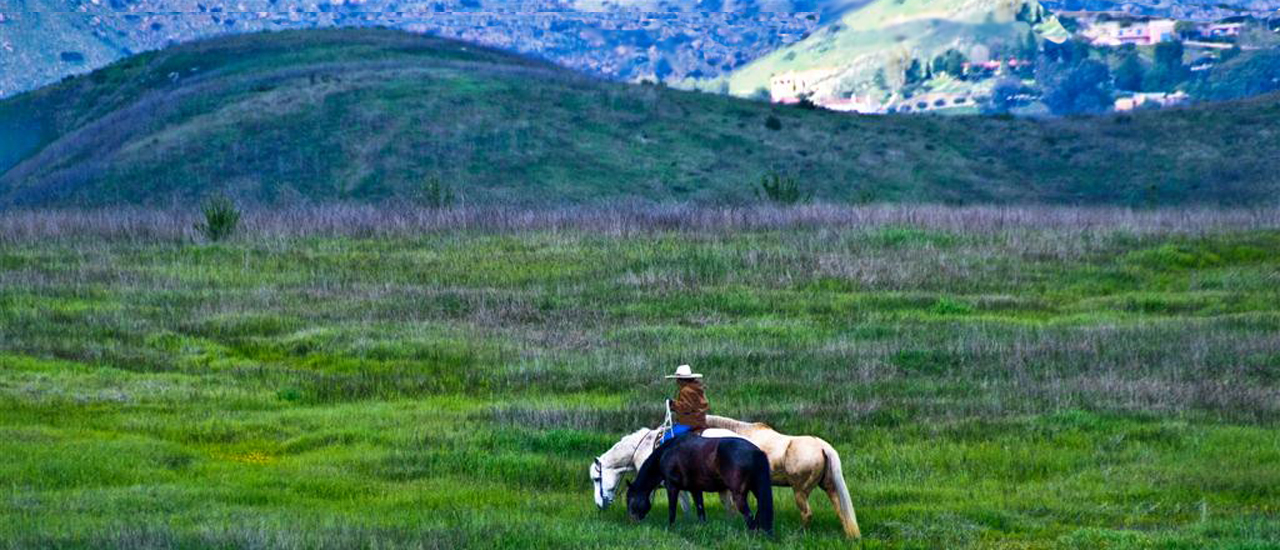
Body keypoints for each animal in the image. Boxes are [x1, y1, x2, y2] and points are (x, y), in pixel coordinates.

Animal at [625, 433, 774, 535]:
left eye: (630, 499)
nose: (632, 523)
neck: (668, 452)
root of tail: (757, 452)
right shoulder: (695, 490)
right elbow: (701, 512)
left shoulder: (672, 487)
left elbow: (672, 510)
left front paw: (671, 528)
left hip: (739, 495)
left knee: (749, 517)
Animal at [707, 414, 861, 538]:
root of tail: (824, 447)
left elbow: (732, 506)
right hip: (829, 487)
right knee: (841, 511)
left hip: (799, 491)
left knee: (807, 513)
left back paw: (800, 534)